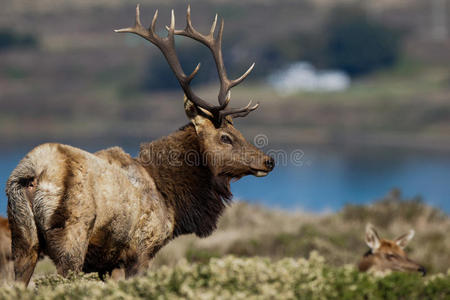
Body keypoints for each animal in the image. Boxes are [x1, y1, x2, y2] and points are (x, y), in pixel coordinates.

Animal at [6, 5, 274, 286]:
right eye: (225, 136)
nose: (269, 161)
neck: (172, 201)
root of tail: (31, 173)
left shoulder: (107, 264)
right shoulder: (141, 249)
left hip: (22, 240)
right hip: (72, 238)